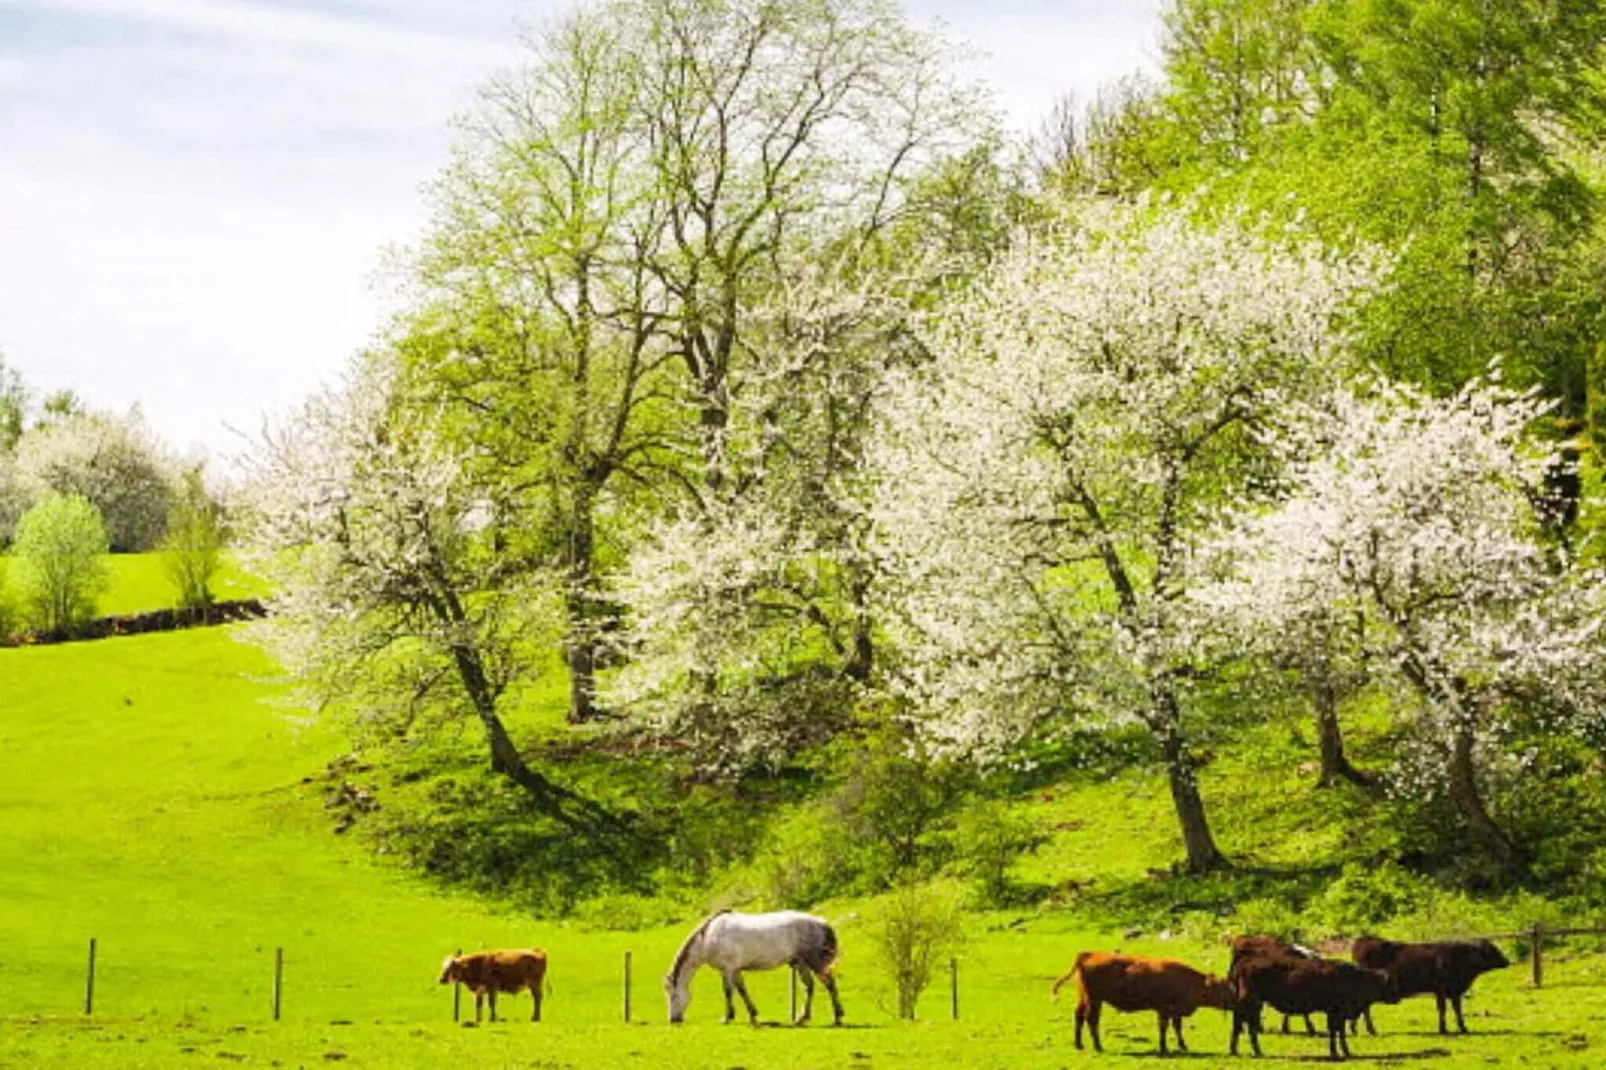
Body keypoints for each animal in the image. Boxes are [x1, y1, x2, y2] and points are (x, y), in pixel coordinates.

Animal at [661, 906, 847, 1021]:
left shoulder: (726, 970)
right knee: (809, 986)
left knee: (830, 984)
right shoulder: (735, 970)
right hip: (800, 963)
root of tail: (822, 923)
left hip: (815, 962)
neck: (707, 938)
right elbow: (742, 990)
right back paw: (803, 1017)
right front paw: (752, 1013)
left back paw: (837, 1016)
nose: (673, 1019)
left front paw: (727, 1017)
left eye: (673, 995)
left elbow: (728, 991)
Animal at [1047, 951, 1233, 1047]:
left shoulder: (1175, 1011)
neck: (1187, 981)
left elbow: (1176, 1027)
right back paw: (1098, 1046)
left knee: (1079, 1016)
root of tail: (1089, 954)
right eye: (1223, 989)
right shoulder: (1165, 1009)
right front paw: (1164, 1048)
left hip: (1084, 997)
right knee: (1091, 1019)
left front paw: (1181, 1045)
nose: (1236, 1001)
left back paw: (1079, 1044)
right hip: (1095, 1000)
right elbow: (1165, 1028)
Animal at [1226, 951, 1394, 1060]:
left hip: (1252, 1006)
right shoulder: (1336, 1012)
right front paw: (1337, 1053)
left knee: (1242, 1025)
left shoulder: (1336, 1014)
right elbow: (1336, 1032)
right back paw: (1253, 1052)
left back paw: (1239, 1051)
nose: (1395, 998)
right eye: (1389, 984)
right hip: (1251, 1004)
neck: (1354, 978)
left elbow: (1338, 1032)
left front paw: (1343, 1052)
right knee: (1246, 1027)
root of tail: (1245, 962)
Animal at [1349, 931, 1509, 1034]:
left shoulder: (1451, 991)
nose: (1507, 961)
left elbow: (1455, 1009)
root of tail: (1363, 941)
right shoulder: (1443, 989)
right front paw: (1445, 1029)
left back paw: (1356, 1029)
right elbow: (1444, 1008)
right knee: (1365, 1008)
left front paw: (1460, 1028)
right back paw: (1370, 1030)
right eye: (1491, 949)